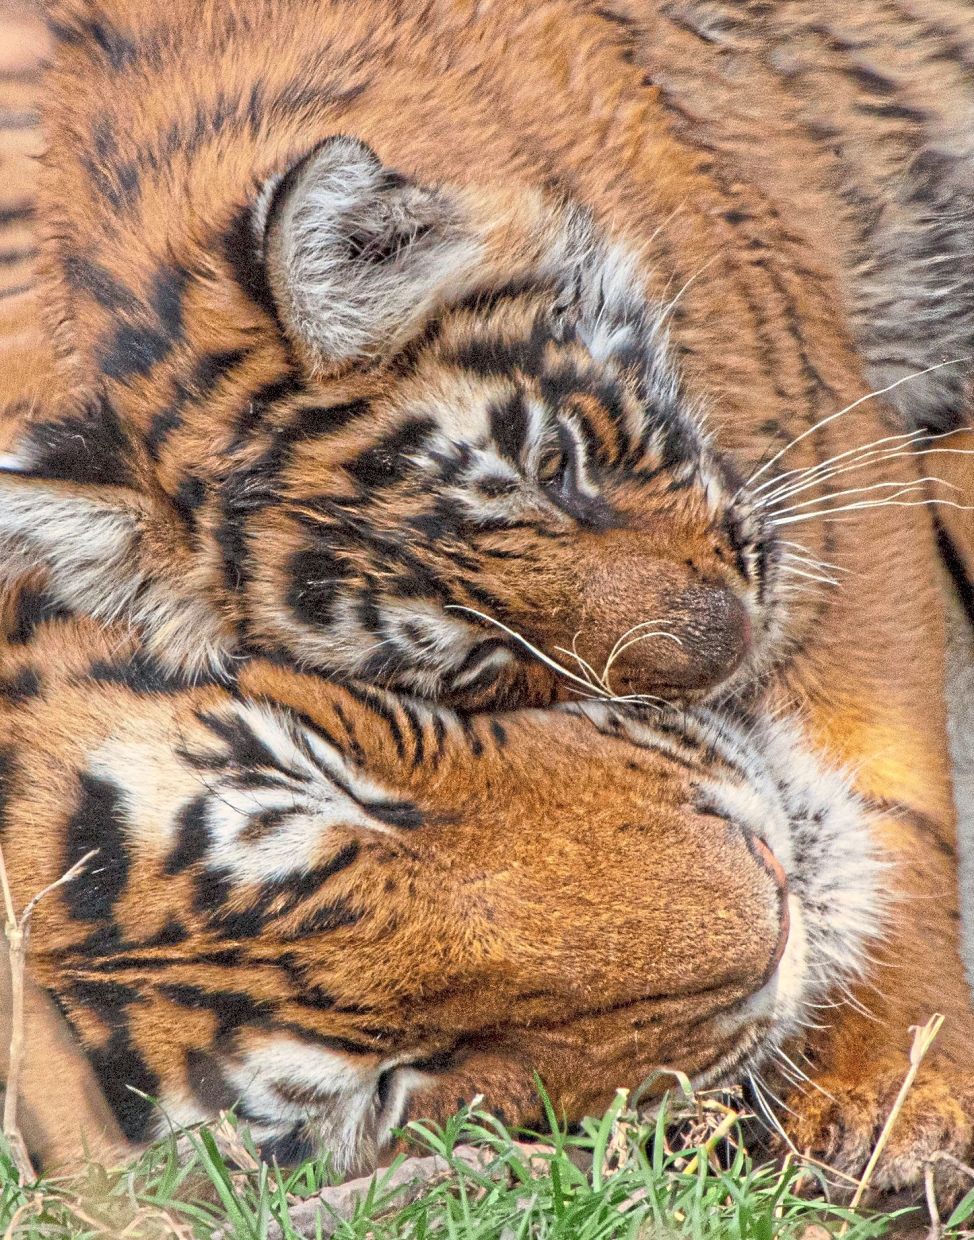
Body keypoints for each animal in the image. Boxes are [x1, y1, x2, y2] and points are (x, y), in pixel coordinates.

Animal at [0, 0, 973, 1196]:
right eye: (479, 653)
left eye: (555, 464)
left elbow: (895, 799)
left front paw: (897, 1099)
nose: (732, 649)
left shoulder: (839, 493)